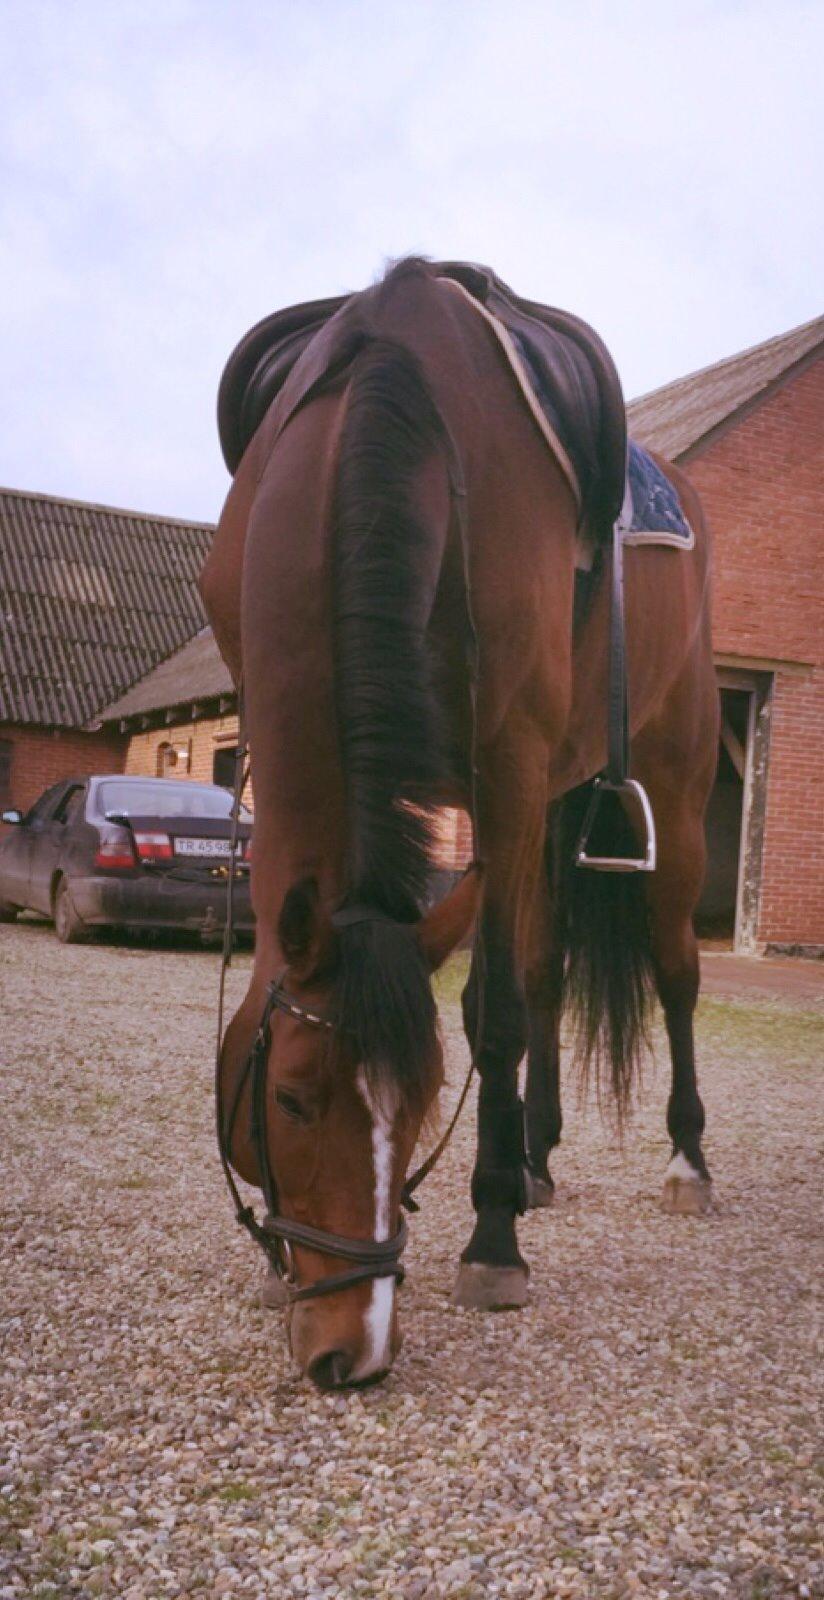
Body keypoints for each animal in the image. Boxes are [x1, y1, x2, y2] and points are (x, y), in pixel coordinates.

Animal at [202, 258, 718, 1389]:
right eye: (291, 1099)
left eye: (424, 1101)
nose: (350, 1350)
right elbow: (517, 994)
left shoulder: (507, 771)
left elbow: (492, 1016)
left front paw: (490, 1245)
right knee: (548, 968)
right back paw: (535, 1161)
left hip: (669, 782)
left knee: (670, 974)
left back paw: (684, 1160)